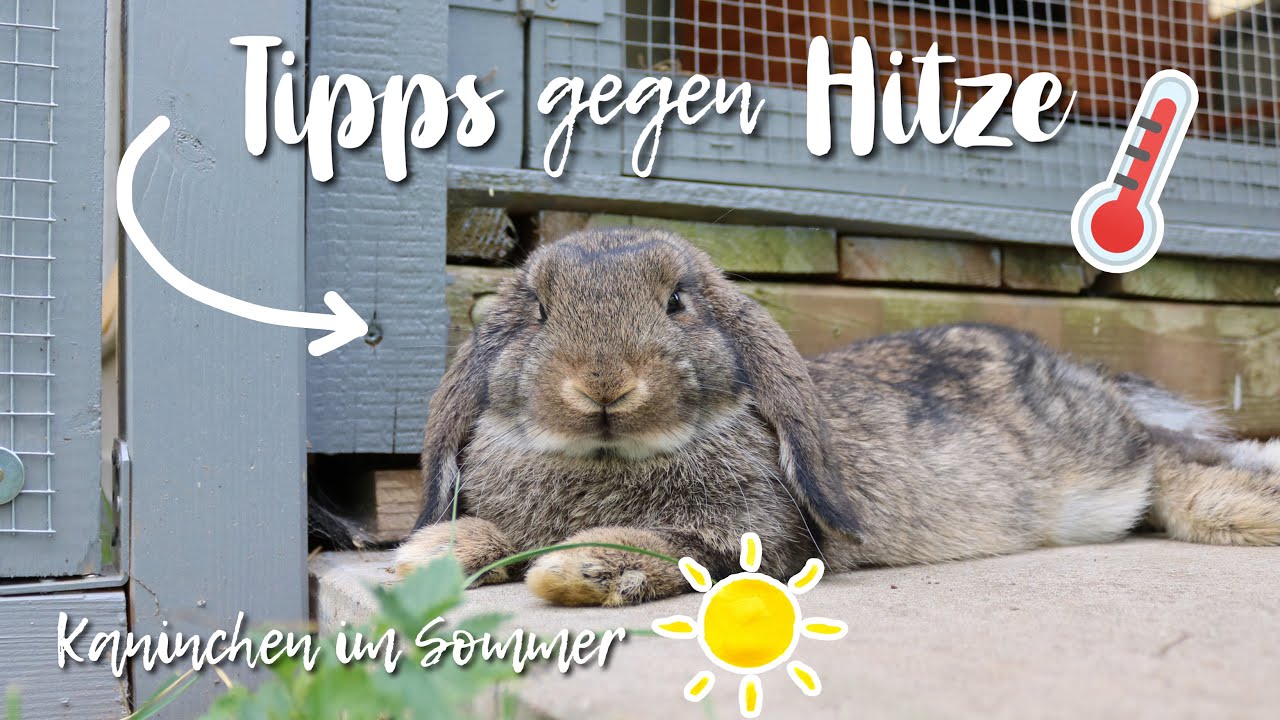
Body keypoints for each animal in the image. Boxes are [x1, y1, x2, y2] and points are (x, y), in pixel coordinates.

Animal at [395, 227, 1280, 606]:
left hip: (1106, 460)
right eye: (540, 311)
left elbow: (666, 547)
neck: (608, 458)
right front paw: (426, 559)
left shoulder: (764, 535)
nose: (602, 383)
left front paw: (573, 570)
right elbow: (485, 534)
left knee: (1170, 467)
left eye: (678, 303)